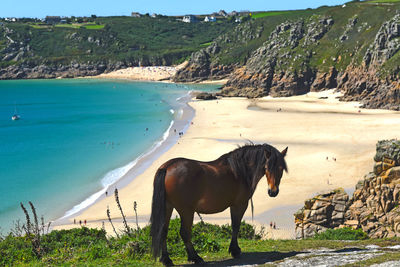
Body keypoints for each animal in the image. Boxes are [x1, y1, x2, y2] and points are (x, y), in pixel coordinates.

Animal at [151, 144, 288, 266]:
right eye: (266, 168)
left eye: (281, 168)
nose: (273, 192)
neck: (241, 170)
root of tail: (167, 167)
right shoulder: (239, 204)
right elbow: (236, 226)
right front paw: (235, 251)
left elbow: (234, 226)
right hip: (186, 211)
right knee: (185, 233)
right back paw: (195, 257)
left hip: (168, 207)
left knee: (163, 231)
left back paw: (167, 260)